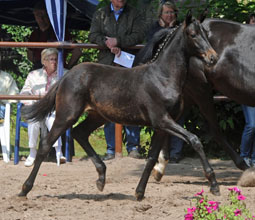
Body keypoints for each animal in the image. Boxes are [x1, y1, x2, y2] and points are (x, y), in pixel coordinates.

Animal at [18, 12, 217, 201]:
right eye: (193, 34)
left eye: (206, 34)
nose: (213, 57)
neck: (163, 77)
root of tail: (66, 76)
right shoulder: (162, 120)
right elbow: (194, 140)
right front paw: (214, 184)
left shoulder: (163, 126)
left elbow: (152, 157)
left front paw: (139, 192)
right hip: (66, 114)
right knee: (46, 144)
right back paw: (24, 189)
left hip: (97, 116)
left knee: (79, 133)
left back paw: (101, 178)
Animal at [137, 18, 255, 180]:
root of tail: (175, 28)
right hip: (201, 91)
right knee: (215, 131)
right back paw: (244, 167)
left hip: (187, 95)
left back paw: (160, 167)